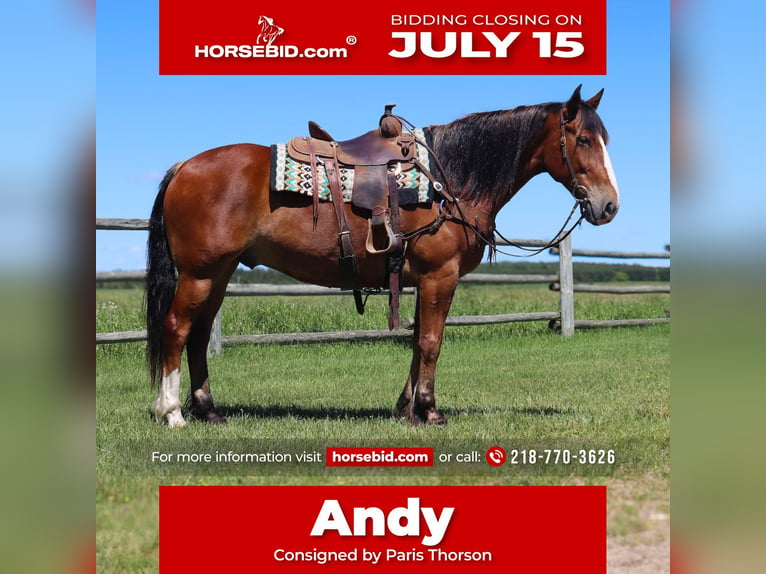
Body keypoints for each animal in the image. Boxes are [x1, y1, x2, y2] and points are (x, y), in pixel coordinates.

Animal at [147, 85, 620, 428]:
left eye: (604, 139)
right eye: (582, 139)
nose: (609, 206)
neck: (450, 179)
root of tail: (185, 166)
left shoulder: (422, 279)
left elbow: (416, 339)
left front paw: (405, 408)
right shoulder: (440, 275)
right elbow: (431, 341)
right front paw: (430, 411)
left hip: (219, 274)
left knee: (197, 336)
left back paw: (208, 411)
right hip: (200, 273)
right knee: (176, 328)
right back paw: (171, 413)